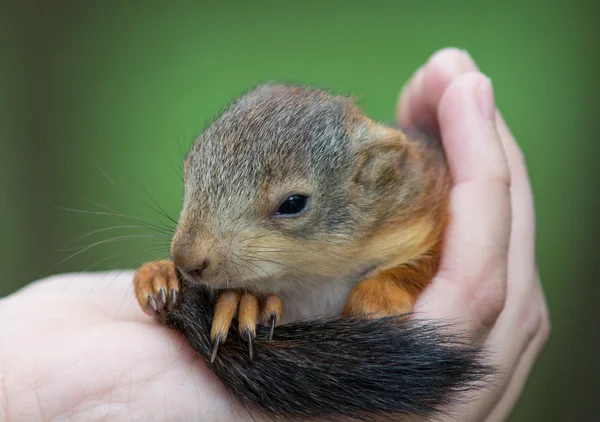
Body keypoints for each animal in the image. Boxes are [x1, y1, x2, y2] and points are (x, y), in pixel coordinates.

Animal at [132, 84, 492, 420]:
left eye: (293, 203)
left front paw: (377, 297)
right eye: (189, 169)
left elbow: (422, 263)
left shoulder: (425, 214)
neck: (312, 278)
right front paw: (173, 279)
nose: (185, 259)